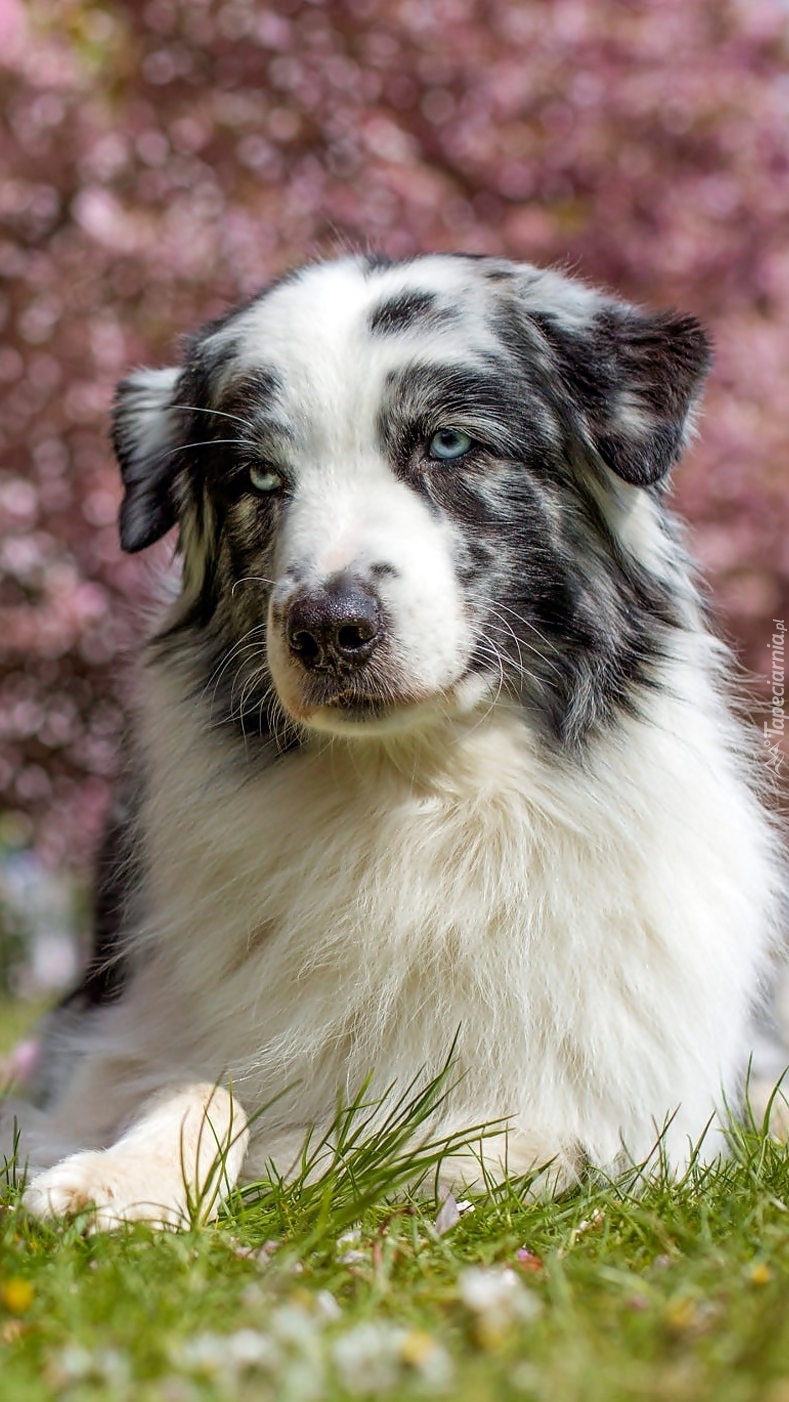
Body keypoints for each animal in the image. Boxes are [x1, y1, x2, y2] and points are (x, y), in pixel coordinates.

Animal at [3, 255, 784, 1228]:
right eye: (258, 477)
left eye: (447, 445)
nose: (327, 627)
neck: (420, 804)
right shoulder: (107, 1041)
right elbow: (196, 1087)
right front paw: (120, 1180)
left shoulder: (628, 1123)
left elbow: (500, 1140)